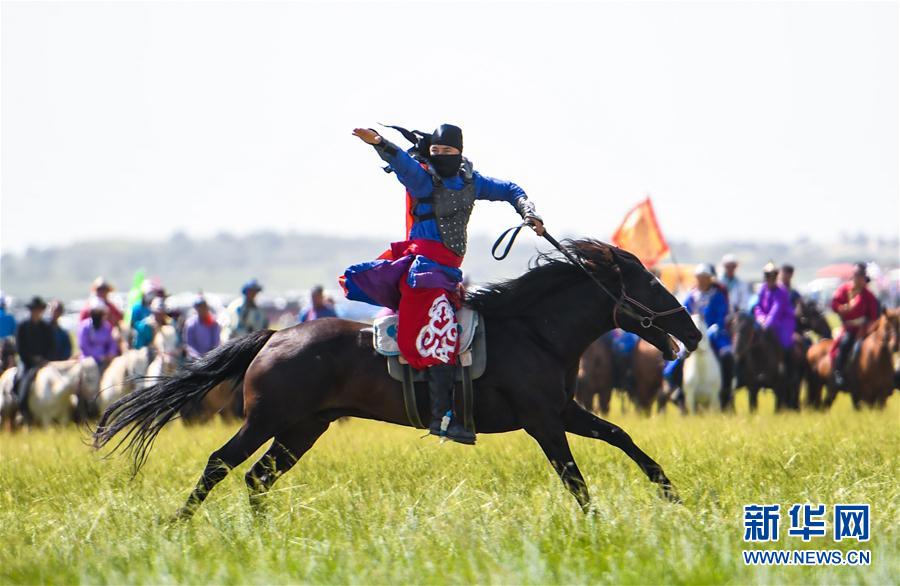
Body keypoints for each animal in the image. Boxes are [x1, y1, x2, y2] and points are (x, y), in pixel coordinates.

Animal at [95, 240, 700, 516]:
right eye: (651, 283)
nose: (693, 334)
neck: (535, 331)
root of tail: (274, 336)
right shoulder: (543, 421)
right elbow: (575, 479)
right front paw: (598, 521)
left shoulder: (562, 410)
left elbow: (621, 437)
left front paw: (670, 493)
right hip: (268, 419)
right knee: (221, 463)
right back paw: (177, 524)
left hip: (302, 429)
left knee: (256, 478)